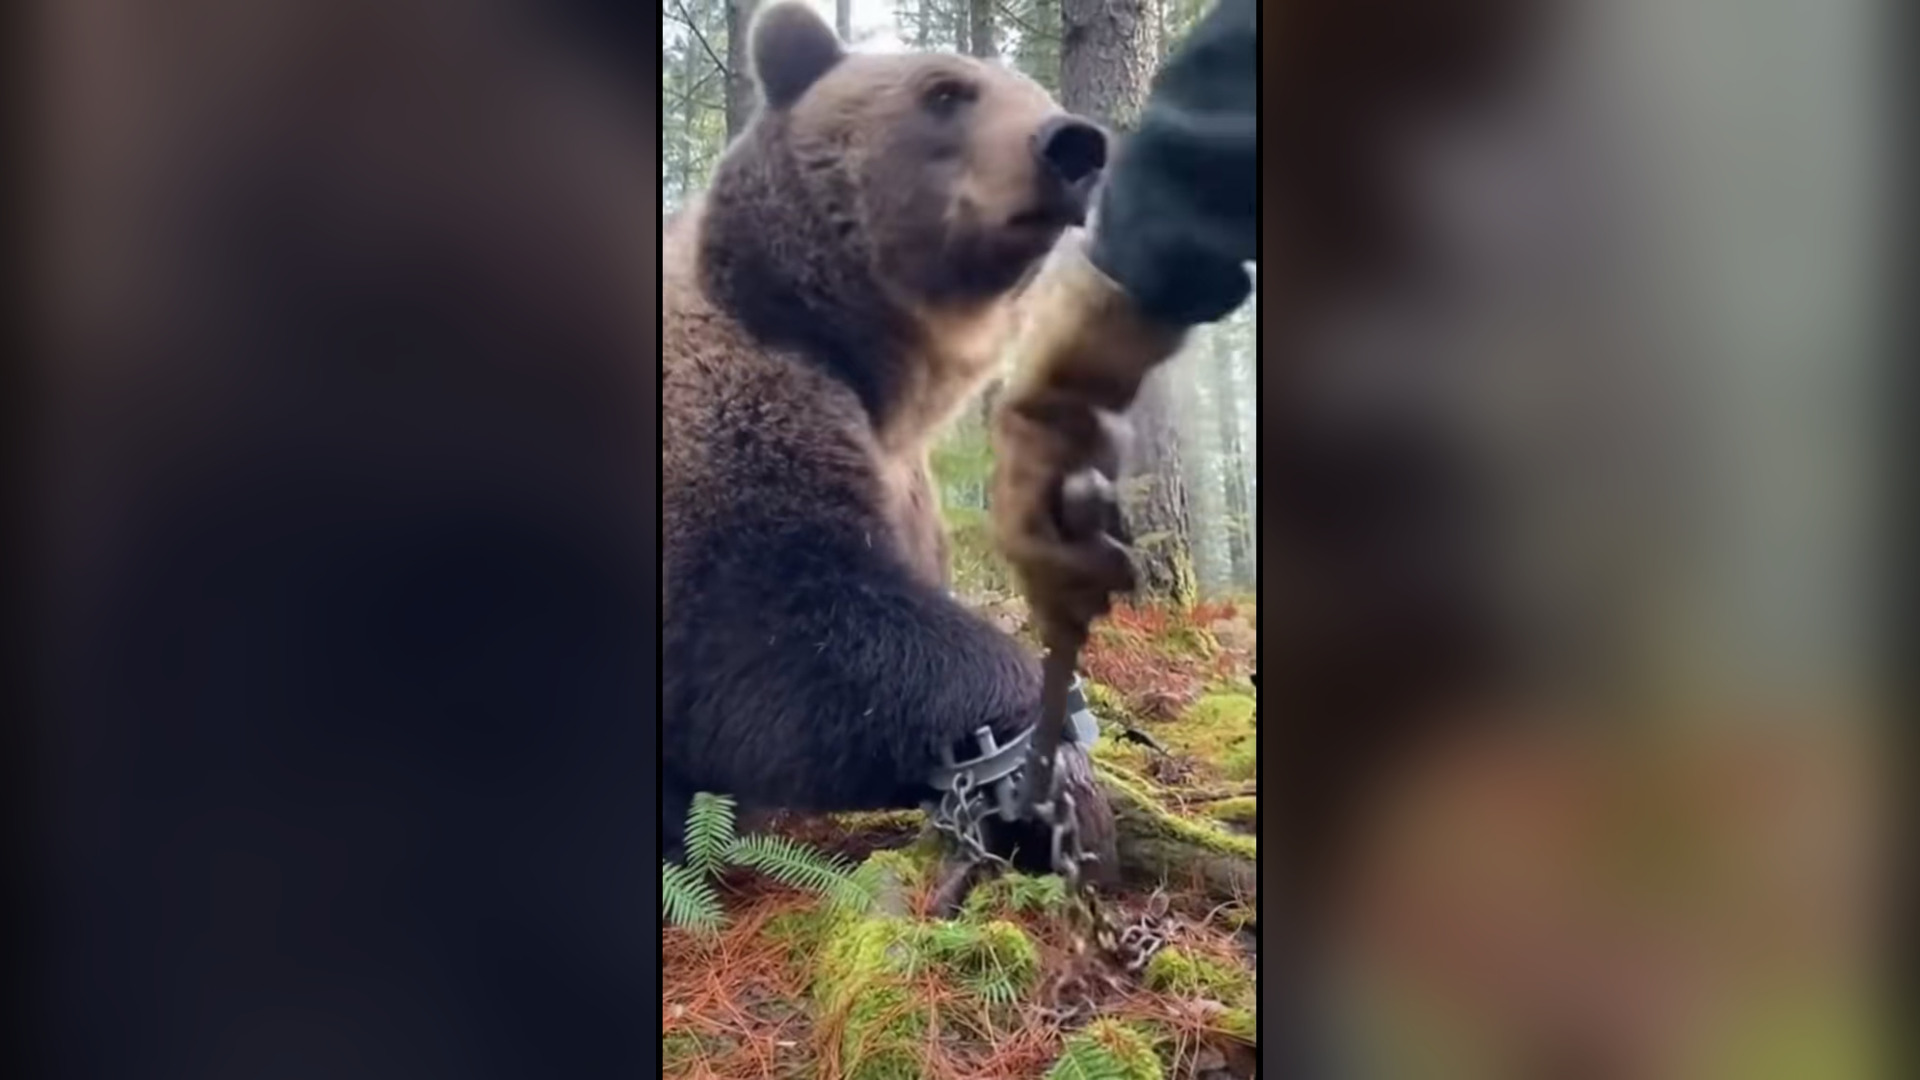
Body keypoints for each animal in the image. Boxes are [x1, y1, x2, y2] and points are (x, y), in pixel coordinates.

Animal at [661, 1, 1117, 878]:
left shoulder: (907, 479)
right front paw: (1045, 756)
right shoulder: (729, 417)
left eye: (1033, 87)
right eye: (944, 91)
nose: (1074, 144)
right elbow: (781, 630)